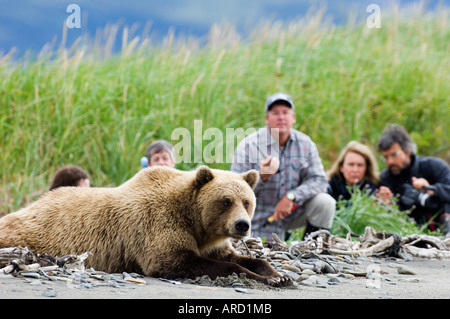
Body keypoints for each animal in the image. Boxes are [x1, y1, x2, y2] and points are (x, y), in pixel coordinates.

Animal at [0, 166, 288, 286]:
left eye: (247, 201)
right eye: (225, 201)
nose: (242, 225)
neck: (194, 221)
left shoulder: (209, 241)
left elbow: (235, 257)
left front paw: (277, 275)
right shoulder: (158, 225)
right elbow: (177, 260)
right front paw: (264, 278)